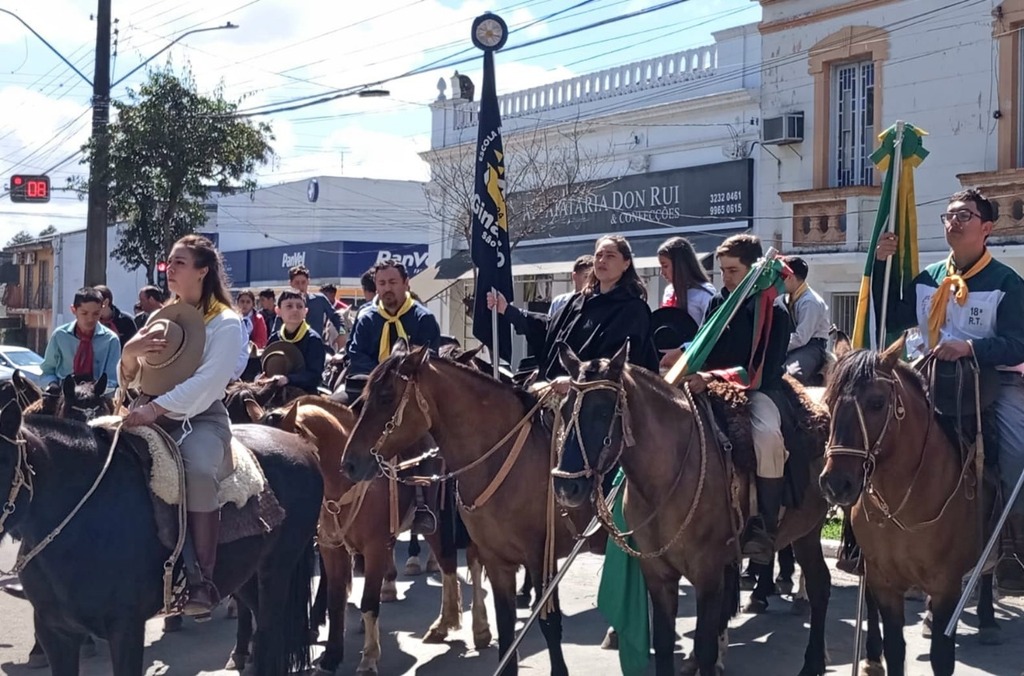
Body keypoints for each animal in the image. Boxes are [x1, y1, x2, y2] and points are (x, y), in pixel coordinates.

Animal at [0, 401, 321, 676]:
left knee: (271, 632)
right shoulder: (55, 631)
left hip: (276, 570)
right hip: (243, 575)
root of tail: (301, 445)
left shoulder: (125, 628)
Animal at [339, 346, 598, 671]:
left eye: (386, 396)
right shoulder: (495, 556)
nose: (349, 463)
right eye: (363, 397)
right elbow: (505, 624)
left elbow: (549, 623)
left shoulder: (542, 557)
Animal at [552, 344, 831, 676]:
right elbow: (663, 643)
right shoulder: (658, 576)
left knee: (819, 586)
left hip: (807, 532)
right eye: (565, 409)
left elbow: (706, 645)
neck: (665, 481)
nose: (566, 486)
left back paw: (812, 662)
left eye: (603, 411)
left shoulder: (707, 575)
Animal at [819, 338, 995, 676]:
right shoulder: (884, 580)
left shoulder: (946, 586)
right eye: (829, 402)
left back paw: (988, 620)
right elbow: (895, 648)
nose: (836, 483)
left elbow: (942, 657)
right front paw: (878, 655)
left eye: (877, 403)